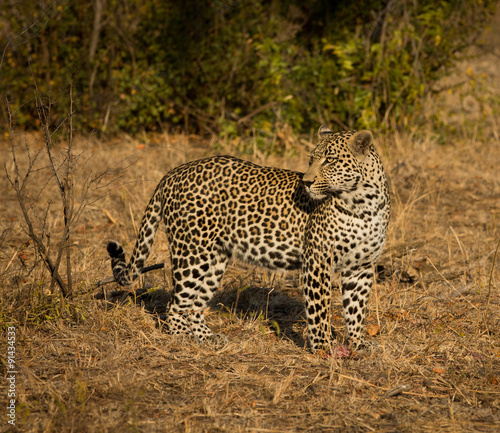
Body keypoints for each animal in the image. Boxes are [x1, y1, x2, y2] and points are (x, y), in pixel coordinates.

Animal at [107, 124, 390, 352]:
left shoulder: (361, 266)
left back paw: (206, 338)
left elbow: (356, 309)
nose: (307, 182)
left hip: (214, 258)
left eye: (330, 161)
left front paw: (358, 344)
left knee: (195, 304)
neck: (362, 203)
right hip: (192, 252)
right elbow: (320, 309)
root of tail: (174, 172)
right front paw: (323, 348)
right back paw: (183, 337)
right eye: (312, 160)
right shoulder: (318, 260)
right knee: (177, 305)